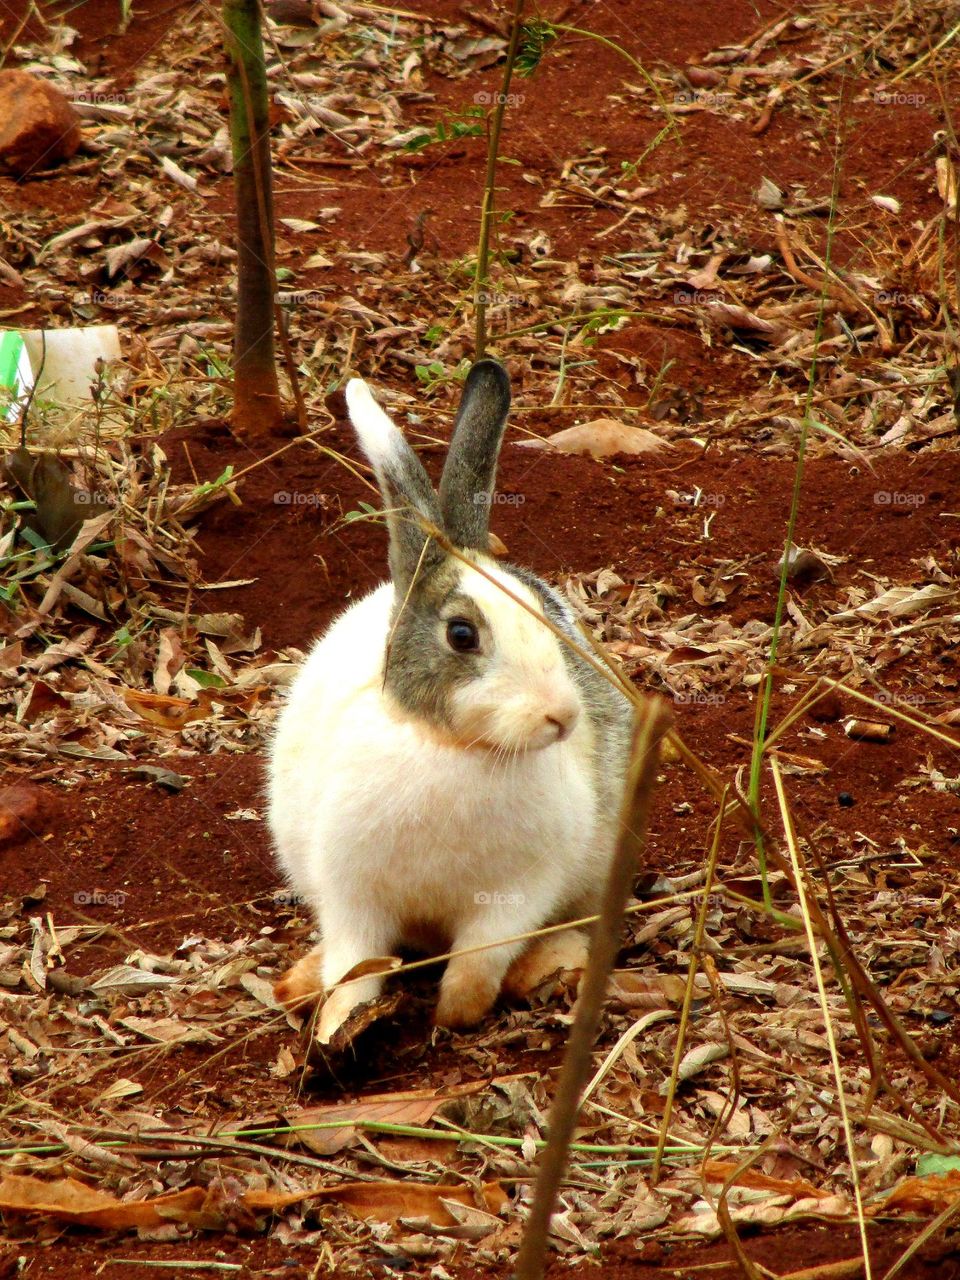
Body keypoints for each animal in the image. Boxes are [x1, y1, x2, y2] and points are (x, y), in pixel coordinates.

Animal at [268, 359, 634, 1044]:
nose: (562, 716)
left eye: (546, 614)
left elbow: (479, 960)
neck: (452, 748)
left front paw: (454, 1014)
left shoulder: (516, 895)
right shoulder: (352, 895)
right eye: (462, 635)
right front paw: (337, 1026)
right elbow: (354, 964)